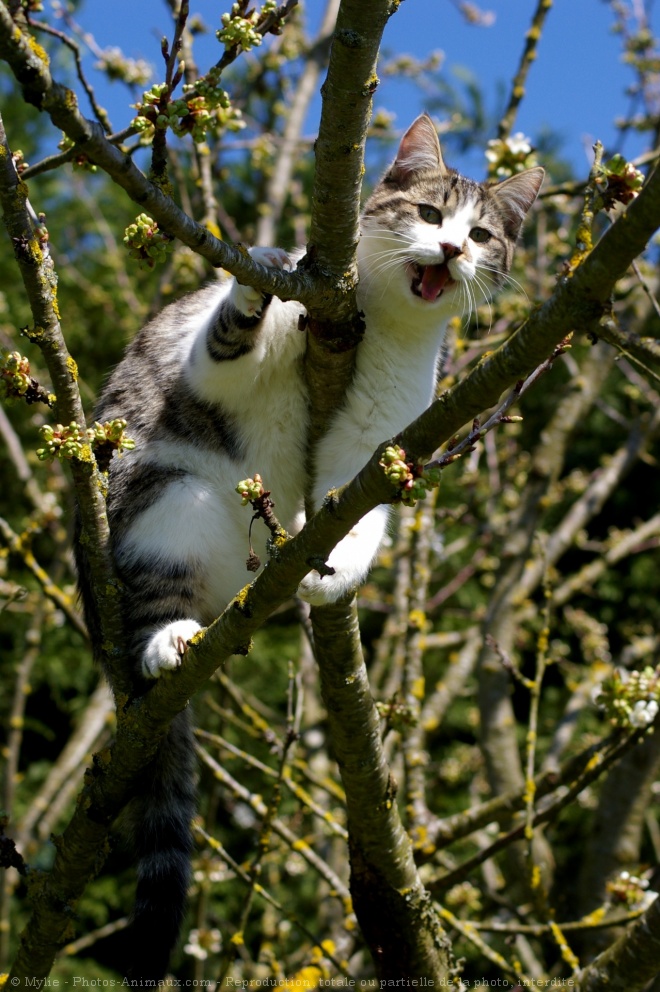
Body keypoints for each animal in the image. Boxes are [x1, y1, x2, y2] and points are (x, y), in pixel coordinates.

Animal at [77, 112, 540, 980]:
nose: (450, 250)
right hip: (166, 498)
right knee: (154, 592)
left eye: (481, 233)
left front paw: (334, 570)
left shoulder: (379, 438)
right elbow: (232, 337)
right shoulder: (228, 365)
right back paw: (166, 641)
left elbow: (358, 509)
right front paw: (258, 278)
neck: (372, 332)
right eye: (430, 215)